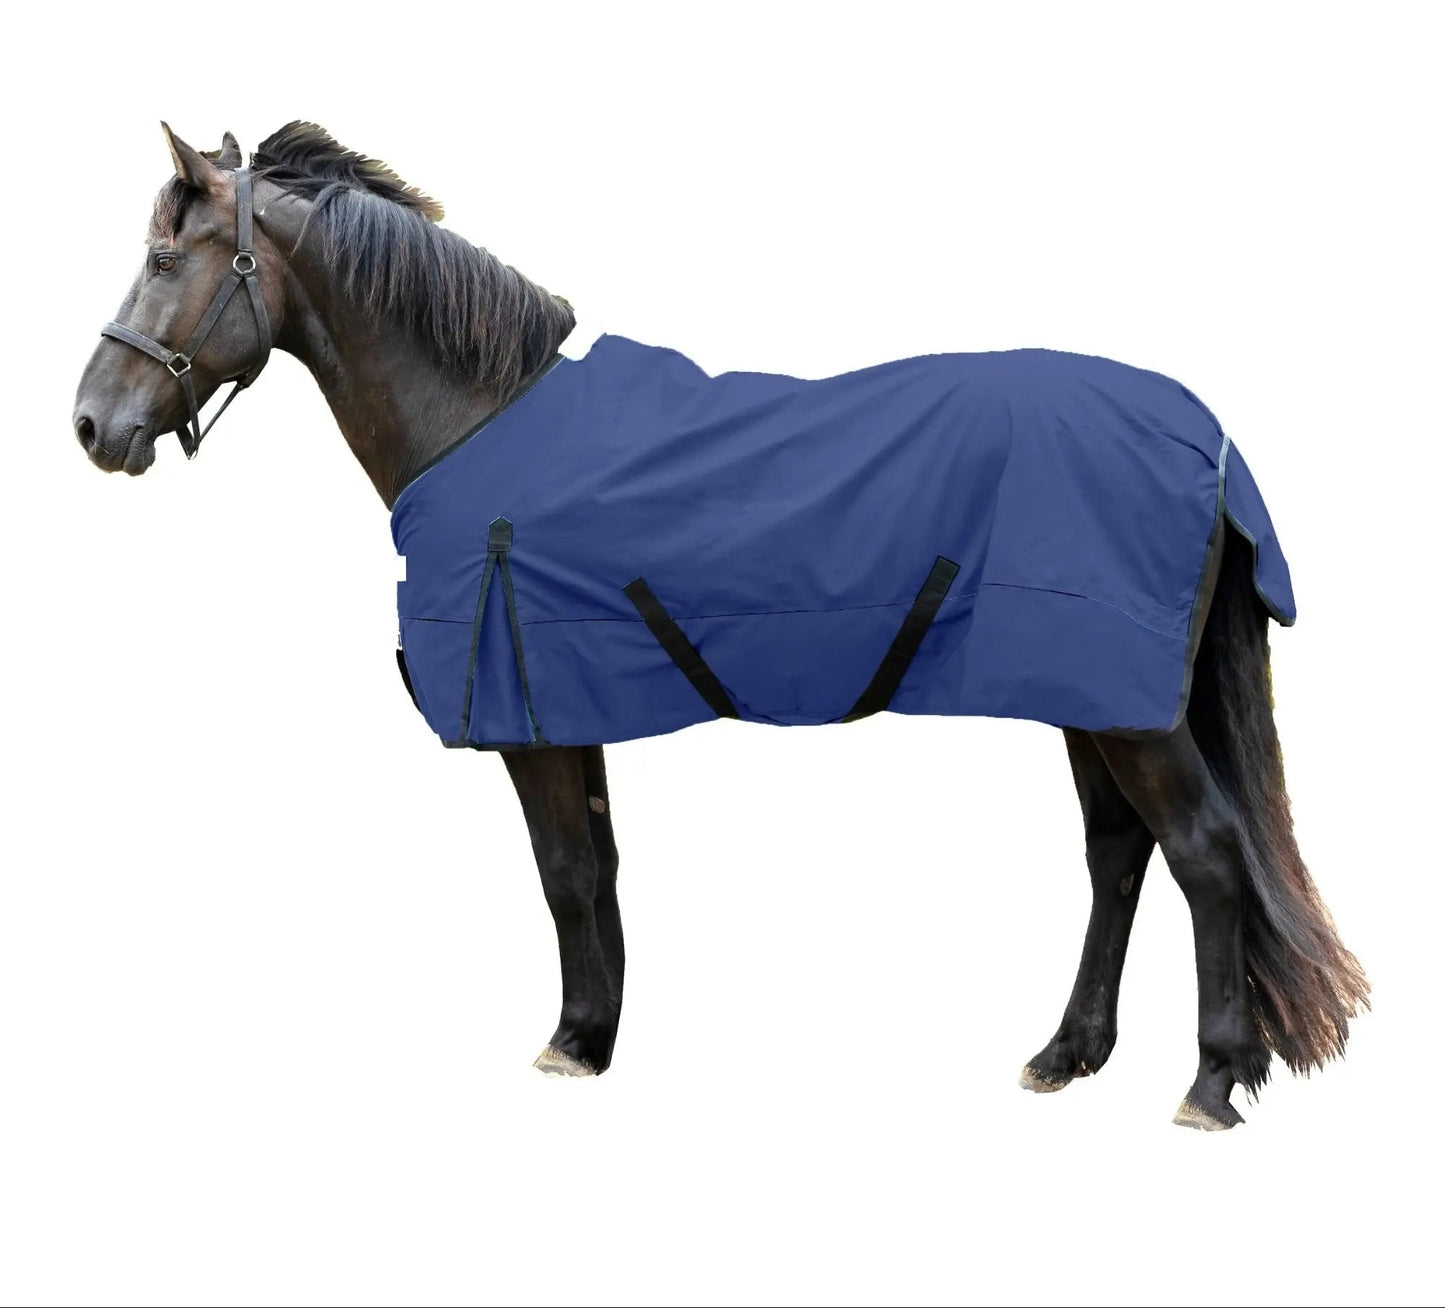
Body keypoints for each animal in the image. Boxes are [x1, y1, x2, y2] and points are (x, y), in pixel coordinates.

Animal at [71, 121, 1368, 1130]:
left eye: (162, 258)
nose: (90, 425)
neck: (480, 419)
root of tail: (1201, 435)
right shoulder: (569, 705)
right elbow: (594, 868)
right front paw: (594, 1034)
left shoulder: (532, 716)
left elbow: (561, 872)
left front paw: (568, 1043)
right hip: (1087, 699)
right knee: (1117, 856)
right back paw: (1067, 1055)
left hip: (1124, 710)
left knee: (1202, 855)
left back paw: (1208, 1082)